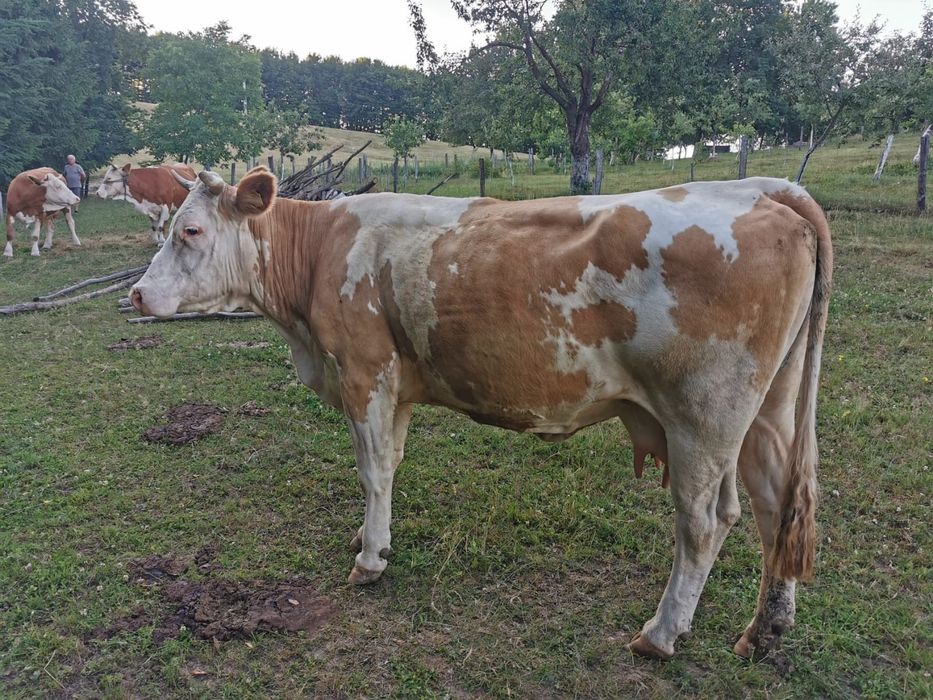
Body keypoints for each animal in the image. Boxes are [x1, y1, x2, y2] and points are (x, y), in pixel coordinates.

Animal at [131, 168, 832, 661]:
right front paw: (370, 536)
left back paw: (661, 633)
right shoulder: (396, 386)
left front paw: (370, 560)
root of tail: (761, 191)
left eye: (190, 231)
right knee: (774, 507)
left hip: (702, 418)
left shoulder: (365, 372)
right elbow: (389, 463)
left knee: (705, 522)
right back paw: (767, 629)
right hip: (766, 412)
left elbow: (372, 470)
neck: (319, 255)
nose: (137, 294)